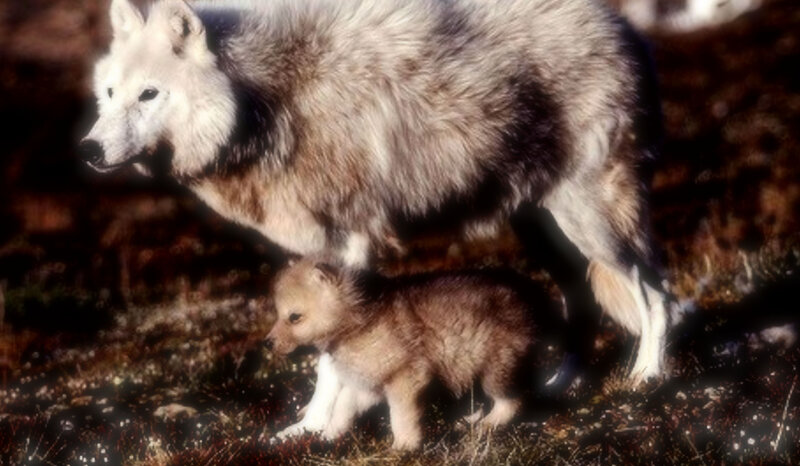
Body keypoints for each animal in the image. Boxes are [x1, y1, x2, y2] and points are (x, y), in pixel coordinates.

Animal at [266, 259, 540, 449]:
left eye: (294, 317)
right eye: (278, 314)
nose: (267, 343)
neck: (359, 321)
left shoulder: (406, 378)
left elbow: (400, 416)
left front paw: (404, 446)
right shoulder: (370, 384)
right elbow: (343, 406)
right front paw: (329, 436)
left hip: (496, 368)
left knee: (513, 402)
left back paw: (487, 426)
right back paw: (466, 422)